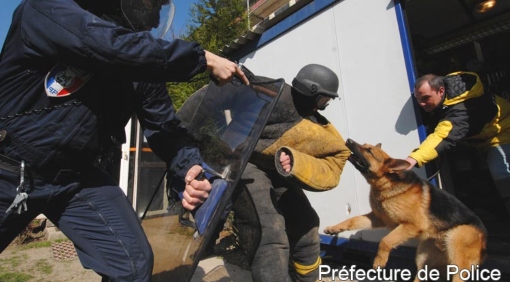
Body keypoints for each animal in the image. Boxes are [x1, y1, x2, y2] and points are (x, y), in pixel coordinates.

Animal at [322, 139, 486, 282]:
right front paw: (334, 228)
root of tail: (484, 237)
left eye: (369, 150)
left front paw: (380, 260)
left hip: (455, 242)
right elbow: (352, 220)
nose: (348, 140)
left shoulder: (411, 225)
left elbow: (385, 240)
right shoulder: (376, 218)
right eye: (364, 145)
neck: (386, 184)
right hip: (423, 258)